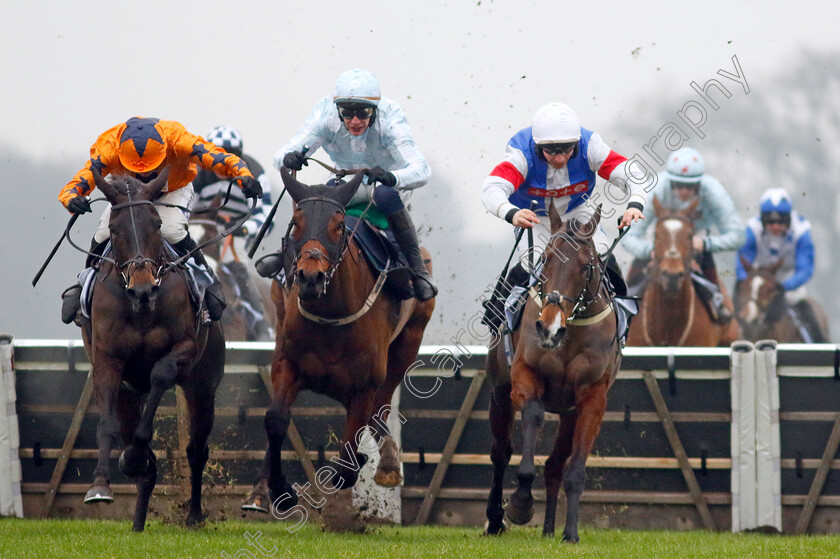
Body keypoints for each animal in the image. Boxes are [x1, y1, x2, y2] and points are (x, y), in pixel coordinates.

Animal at [80, 171, 225, 532]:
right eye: (115, 229)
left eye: (157, 224)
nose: (143, 288)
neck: (141, 307)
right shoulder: (108, 360)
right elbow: (108, 425)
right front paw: (100, 485)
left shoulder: (184, 349)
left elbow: (160, 374)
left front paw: (134, 456)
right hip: (130, 394)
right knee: (146, 462)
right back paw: (137, 522)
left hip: (203, 386)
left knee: (196, 449)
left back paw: (194, 515)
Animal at [241, 168, 434, 516]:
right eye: (296, 222)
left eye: (339, 225)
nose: (310, 277)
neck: (331, 317)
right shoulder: (287, 363)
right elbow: (276, 419)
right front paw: (276, 489)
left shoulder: (365, 383)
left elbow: (348, 457)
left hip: (409, 341)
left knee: (382, 406)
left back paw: (387, 463)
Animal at [486, 205, 624, 544]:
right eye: (546, 258)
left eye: (585, 265)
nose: (549, 328)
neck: (570, 332)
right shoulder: (524, 373)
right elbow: (534, 414)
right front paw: (521, 503)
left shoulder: (592, 399)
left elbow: (574, 469)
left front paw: (570, 533)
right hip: (498, 392)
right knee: (500, 453)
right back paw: (495, 520)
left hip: (568, 414)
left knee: (554, 466)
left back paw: (550, 529)